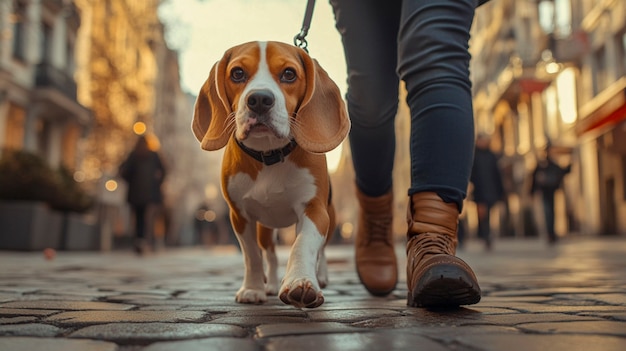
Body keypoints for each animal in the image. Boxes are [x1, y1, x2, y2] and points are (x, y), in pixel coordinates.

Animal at [191, 42, 346, 310]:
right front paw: (253, 289)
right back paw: (271, 284)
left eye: (289, 74)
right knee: (271, 254)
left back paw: (321, 276)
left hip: (331, 217)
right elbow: (252, 255)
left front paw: (301, 283)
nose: (260, 100)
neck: (269, 154)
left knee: (322, 251)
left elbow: (303, 245)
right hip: (266, 228)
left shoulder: (314, 209)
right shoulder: (240, 215)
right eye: (237, 73)